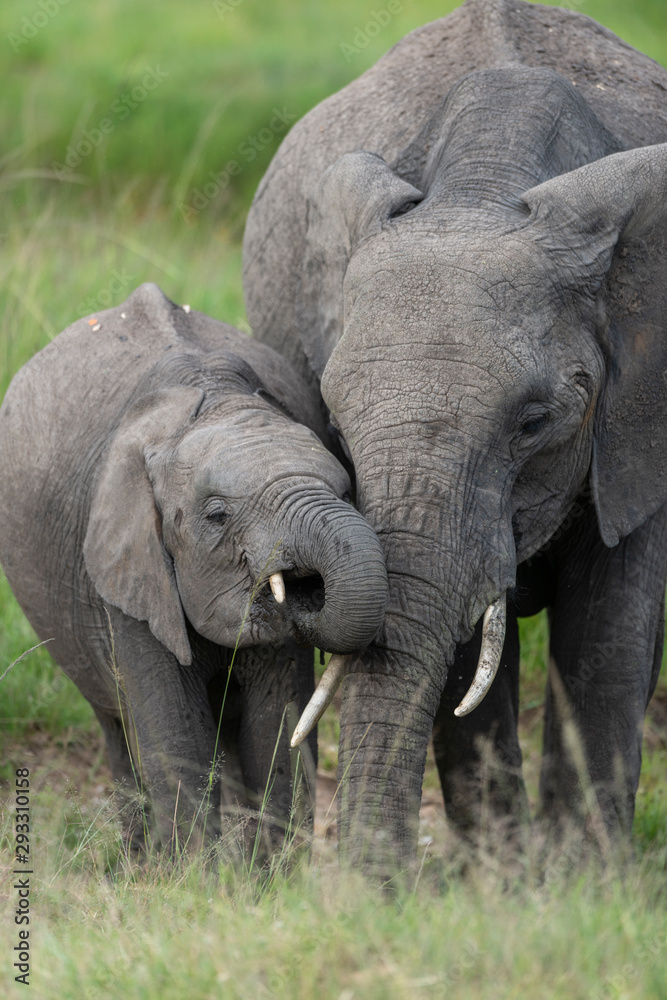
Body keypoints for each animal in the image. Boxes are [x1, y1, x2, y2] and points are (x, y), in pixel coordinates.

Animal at [0, 282, 387, 855]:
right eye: (217, 515)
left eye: (344, 491)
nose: (308, 591)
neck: (209, 398)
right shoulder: (125, 571)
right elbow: (178, 736)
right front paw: (195, 874)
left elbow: (275, 726)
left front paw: (264, 875)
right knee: (117, 725)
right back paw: (137, 860)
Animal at [242, 0, 667, 875]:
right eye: (335, 418)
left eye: (533, 423)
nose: (366, 893)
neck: (484, 184)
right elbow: (460, 656)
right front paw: (501, 887)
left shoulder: (640, 417)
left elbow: (609, 634)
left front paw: (583, 885)